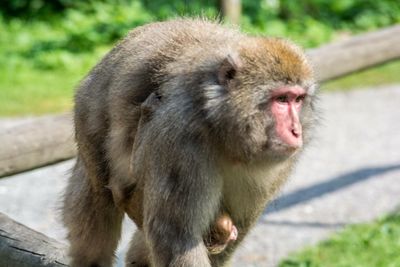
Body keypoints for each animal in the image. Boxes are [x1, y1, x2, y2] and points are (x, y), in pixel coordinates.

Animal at [61, 18, 316, 267]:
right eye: (281, 99)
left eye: (298, 100)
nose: (296, 131)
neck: (225, 133)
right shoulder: (180, 140)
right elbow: (175, 235)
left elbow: (240, 225)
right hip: (89, 110)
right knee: (101, 198)